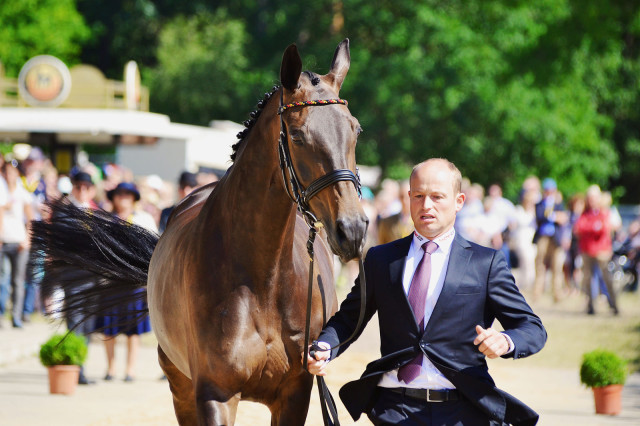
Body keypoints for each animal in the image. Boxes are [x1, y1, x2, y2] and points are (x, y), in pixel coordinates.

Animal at [32, 38, 368, 424]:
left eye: (355, 130)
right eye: (297, 136)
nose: (352, 229)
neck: (262, 282)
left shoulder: (295, 394)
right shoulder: (214, 393)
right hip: (179, 382)